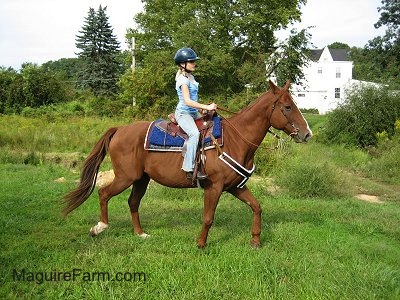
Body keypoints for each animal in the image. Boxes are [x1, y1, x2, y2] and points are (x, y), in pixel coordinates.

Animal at [62, 79, 312, 248]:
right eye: (287, 107)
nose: (307, 134)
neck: (236, 139)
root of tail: (120, 129)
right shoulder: (214, 187)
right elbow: (208, 217)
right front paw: (201, 244)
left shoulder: (235, 186)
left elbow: (257, 207)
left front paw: (255, 241)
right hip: (126, 177)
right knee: (104, 193)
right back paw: (99, 227)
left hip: (141, 179)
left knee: (133, 202)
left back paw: (140, 233)